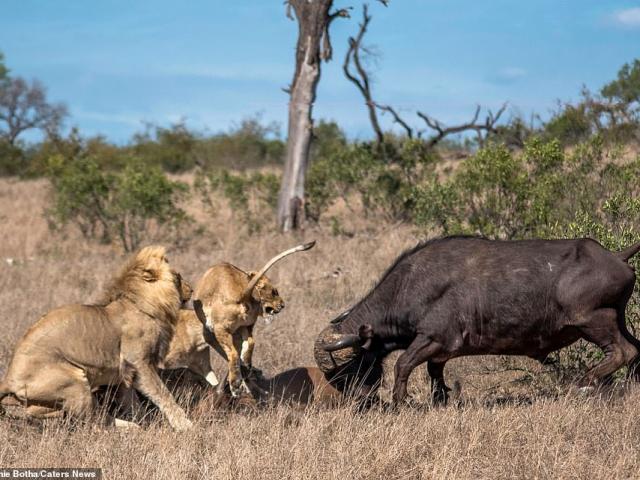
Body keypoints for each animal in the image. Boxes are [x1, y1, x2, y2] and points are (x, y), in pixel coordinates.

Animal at [0, 244, 195, 432]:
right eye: (178, 277)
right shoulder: (138, 361)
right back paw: (130, 428)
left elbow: (132, 401)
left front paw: (146, 419)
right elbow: (162, 394)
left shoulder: (124, 373)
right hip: (75, 381)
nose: (192, 290)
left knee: (41, 411)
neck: (142, 304)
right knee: (95, 421)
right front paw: (183, 425)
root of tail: (8, 378)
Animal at [314, 236, 640, 404]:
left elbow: (402, 364)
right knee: (636, 350)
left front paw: (401, 401)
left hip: (594, 321)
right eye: (335, 376)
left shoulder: (433, 339)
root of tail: (615, 256)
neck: (409, 286)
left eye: (350, 367)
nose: (358, 401)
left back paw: (584, 383)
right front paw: (440, 400)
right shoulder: (440, 351)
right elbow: (434, 373)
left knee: (623, 352)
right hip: (617, 320)